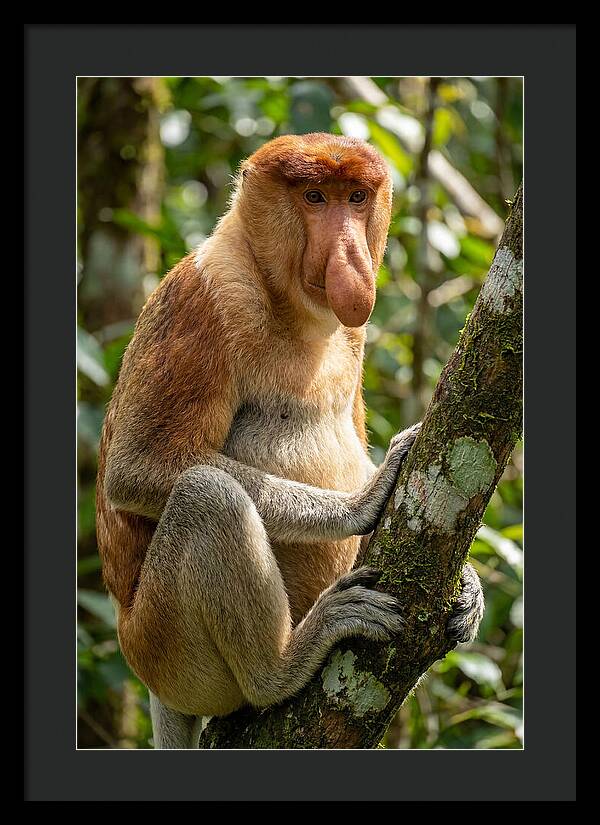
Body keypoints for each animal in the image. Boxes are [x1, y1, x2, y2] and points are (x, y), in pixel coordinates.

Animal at [95, 133, 484, 749]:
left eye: (355, 197)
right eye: (315, 197)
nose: (350, 256)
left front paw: (468, 584)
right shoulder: (205, 299)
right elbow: (138, 467)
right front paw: (363, 502)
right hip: (163, 649)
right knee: (208, 496)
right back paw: (283, 665)